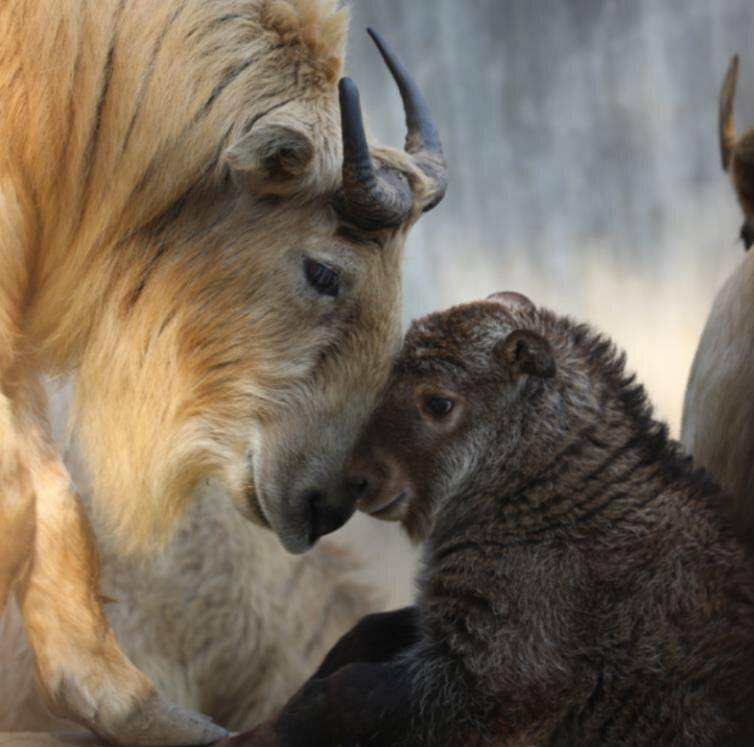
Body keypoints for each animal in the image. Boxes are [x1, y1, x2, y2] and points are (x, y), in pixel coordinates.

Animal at [226, 292, 752, 747]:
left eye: (438, 402)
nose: (357, 481)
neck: (553, 492)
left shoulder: (493, 678)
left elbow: (340, 695)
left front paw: (246, 739)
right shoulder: (445, 627)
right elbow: (363, 633)